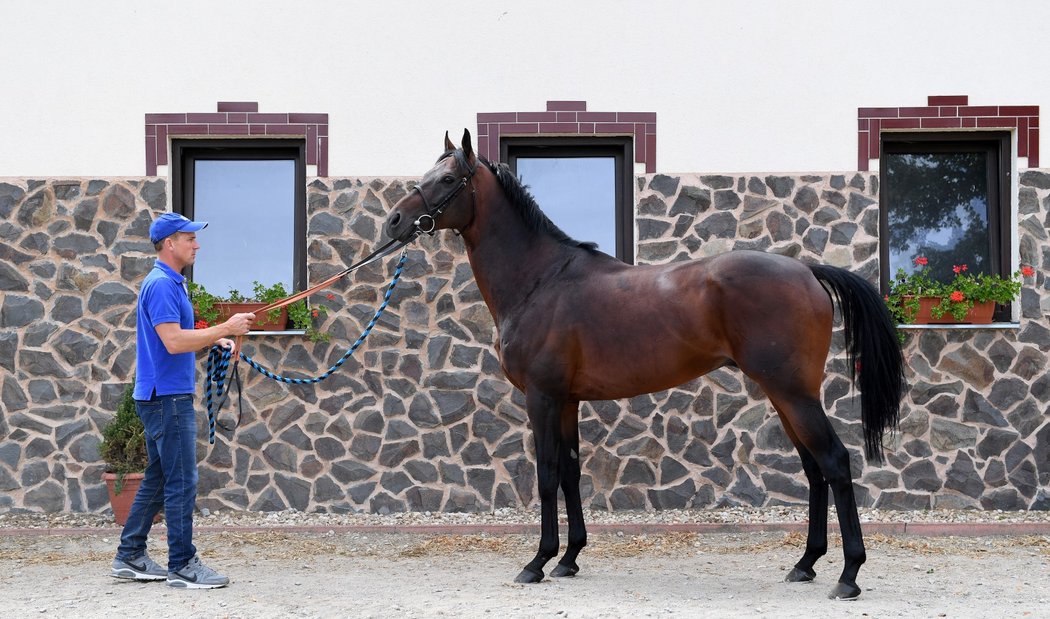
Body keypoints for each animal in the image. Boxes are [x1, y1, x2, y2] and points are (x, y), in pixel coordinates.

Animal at [382, 131, 907, 600]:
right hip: (785, 395)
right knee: (814, 468)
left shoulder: (542, 397)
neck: (540, 280)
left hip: (793, 393)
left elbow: (547, 474)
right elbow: (570, 472)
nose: (393, 222)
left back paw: (849, 575)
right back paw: (805, 564)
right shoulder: (567, 400)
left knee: (834, 462)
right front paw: (569, 559)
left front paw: (537, 562)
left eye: (447, 178)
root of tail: (807, 271)